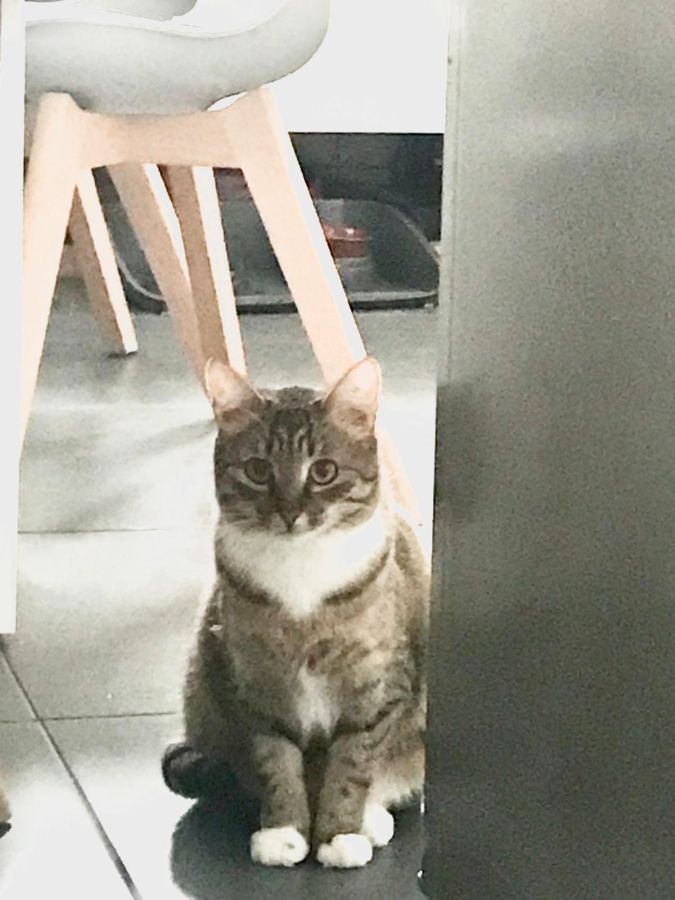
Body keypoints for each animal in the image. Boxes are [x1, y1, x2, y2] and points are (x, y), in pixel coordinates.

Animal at [162, 356, 429, 869]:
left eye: (323, 471)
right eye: (257, 469)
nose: (289, 511)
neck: (299, 568)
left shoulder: (375, 687)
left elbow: (352, 763)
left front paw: (338, 833)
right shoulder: (256, 684)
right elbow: (276, 762)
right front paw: (284, 830)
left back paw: (372, 819)